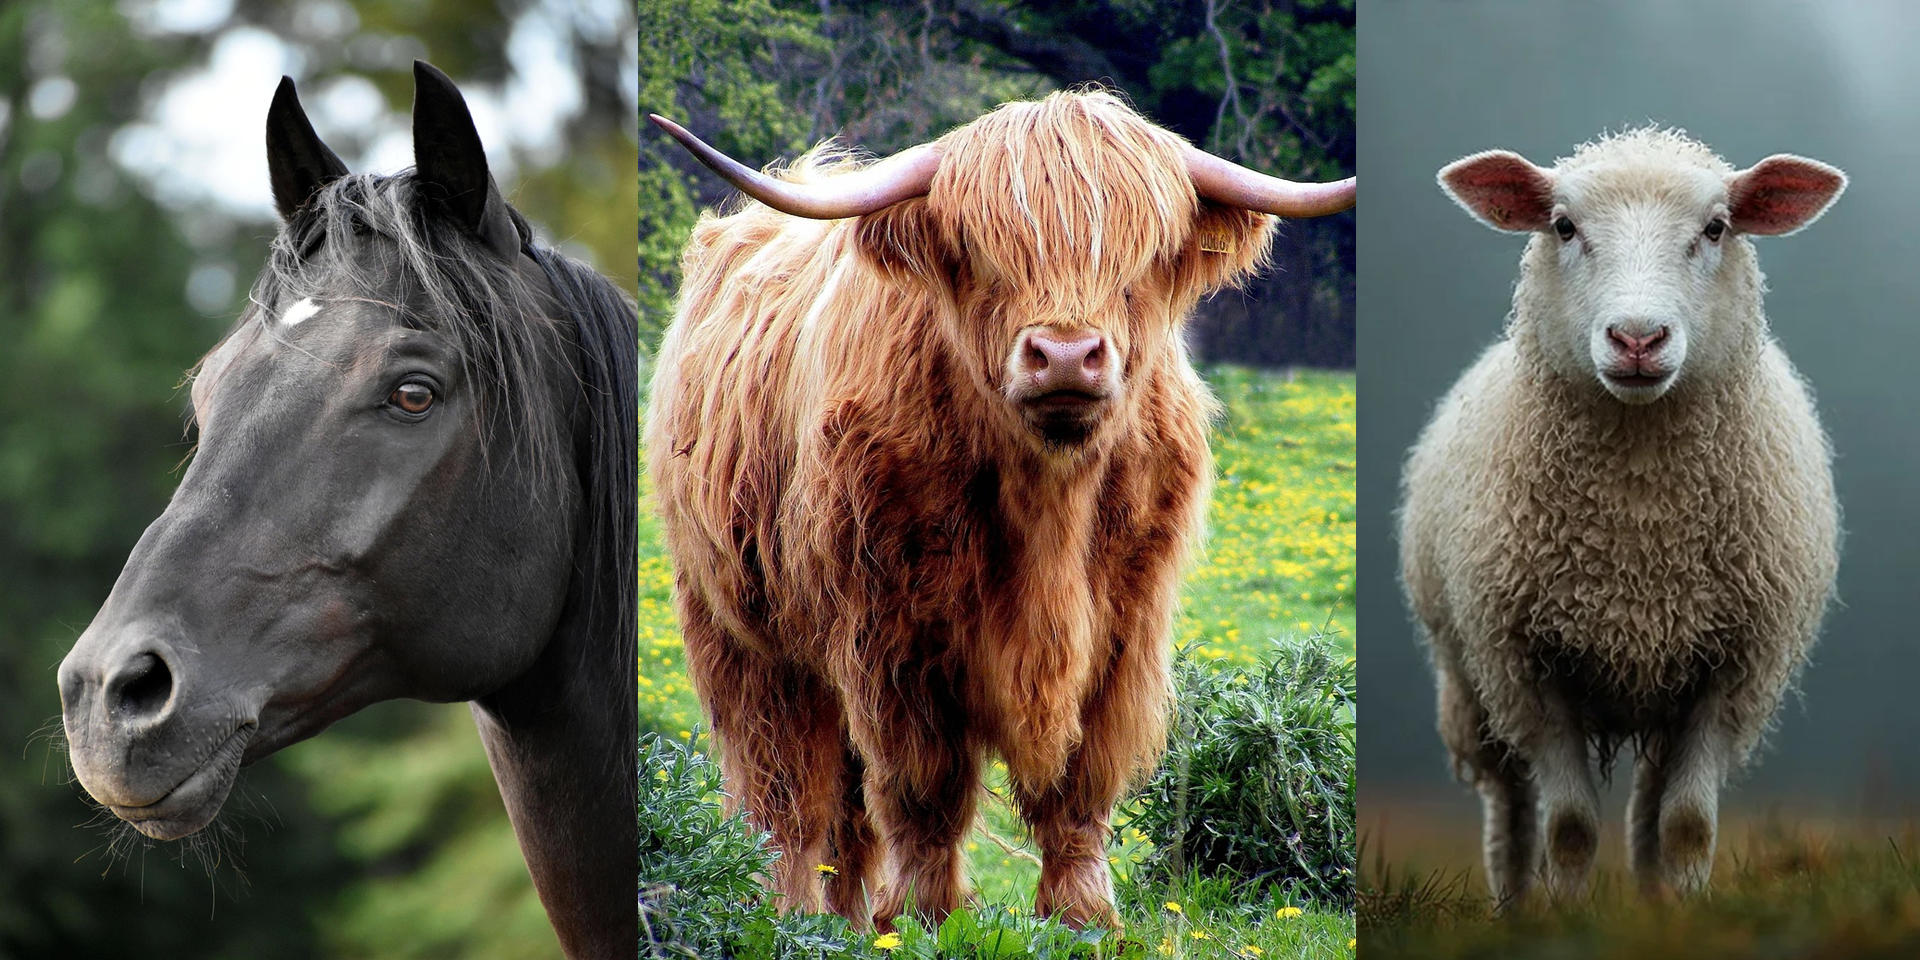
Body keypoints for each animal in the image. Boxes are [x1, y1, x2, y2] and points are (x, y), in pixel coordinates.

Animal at [645, 89, 1354, 931]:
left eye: (1141, 257)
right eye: (984, 253)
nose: (1067, 354)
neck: (1049, 505)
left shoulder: (1124, 632)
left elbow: (1081, 784)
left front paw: (1084, 915)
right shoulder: (891, 639)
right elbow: (923, 786)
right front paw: (922, 918)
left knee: (844, 814)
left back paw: (844, 917)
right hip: (740, 634)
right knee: (784, 791)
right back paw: (790, 916)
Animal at [1399, 127, 1845, 906]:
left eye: (1716, 228)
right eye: (1564, 226)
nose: (1638, 338)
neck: (1638, 526)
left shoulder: (1734, 671)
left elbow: (1688, 823)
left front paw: (1687, 912)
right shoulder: (1527, 668)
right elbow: (1570, 826)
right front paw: (1566, 915)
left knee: (1647, 811)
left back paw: (1652, 903)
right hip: (1470, 682)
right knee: (1509, 809)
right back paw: (1513, 906)